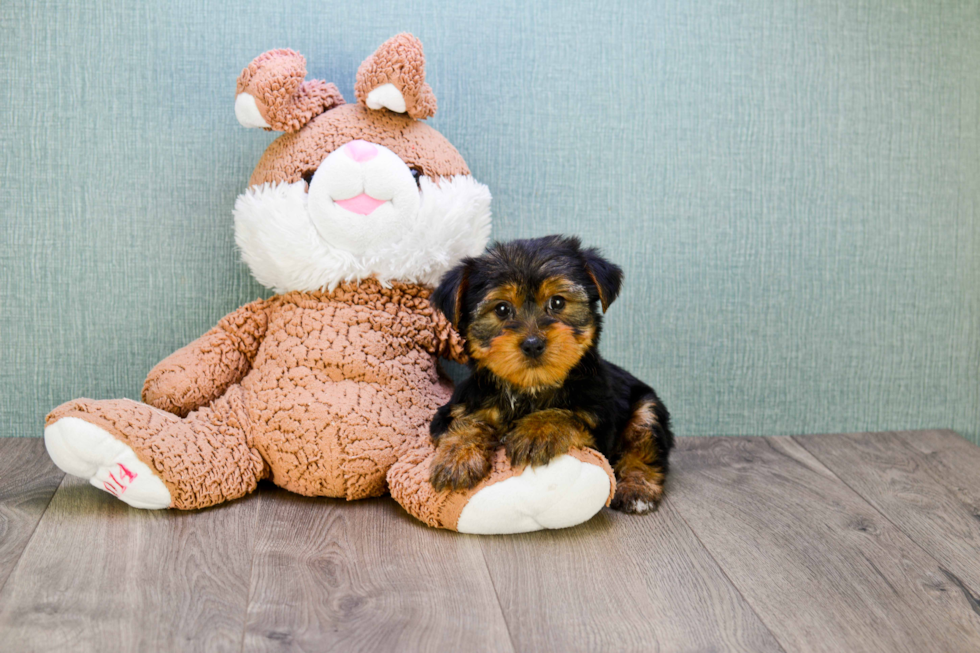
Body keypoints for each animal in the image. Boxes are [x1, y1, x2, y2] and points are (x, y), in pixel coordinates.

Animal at [428, 234, 672, 516]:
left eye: (557, 302)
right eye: (502, 309)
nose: (533, 344)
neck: (530, 389)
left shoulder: (600, 422)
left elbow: (568, 415)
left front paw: (537, 430)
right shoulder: (460, 404)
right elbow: (464, 422)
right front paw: (457, 458)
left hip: (647, 406)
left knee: (644, 446)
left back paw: (637, 488)